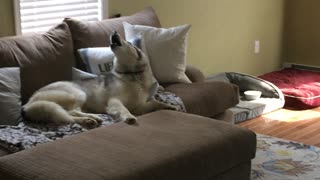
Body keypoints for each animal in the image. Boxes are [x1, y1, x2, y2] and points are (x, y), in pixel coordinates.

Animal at [23, 31, 178, 126]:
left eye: (128, 43)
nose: (114, 32)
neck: (132, 74)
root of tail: (28, 104)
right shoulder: (114, 101)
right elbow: (123, 109)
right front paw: (128, 117)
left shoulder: (140, 107)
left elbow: (156, 103)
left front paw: (169, 106)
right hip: (78, 93)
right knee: (70, 112)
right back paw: (93, 117)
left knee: (68, 115)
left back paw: (88, 119)